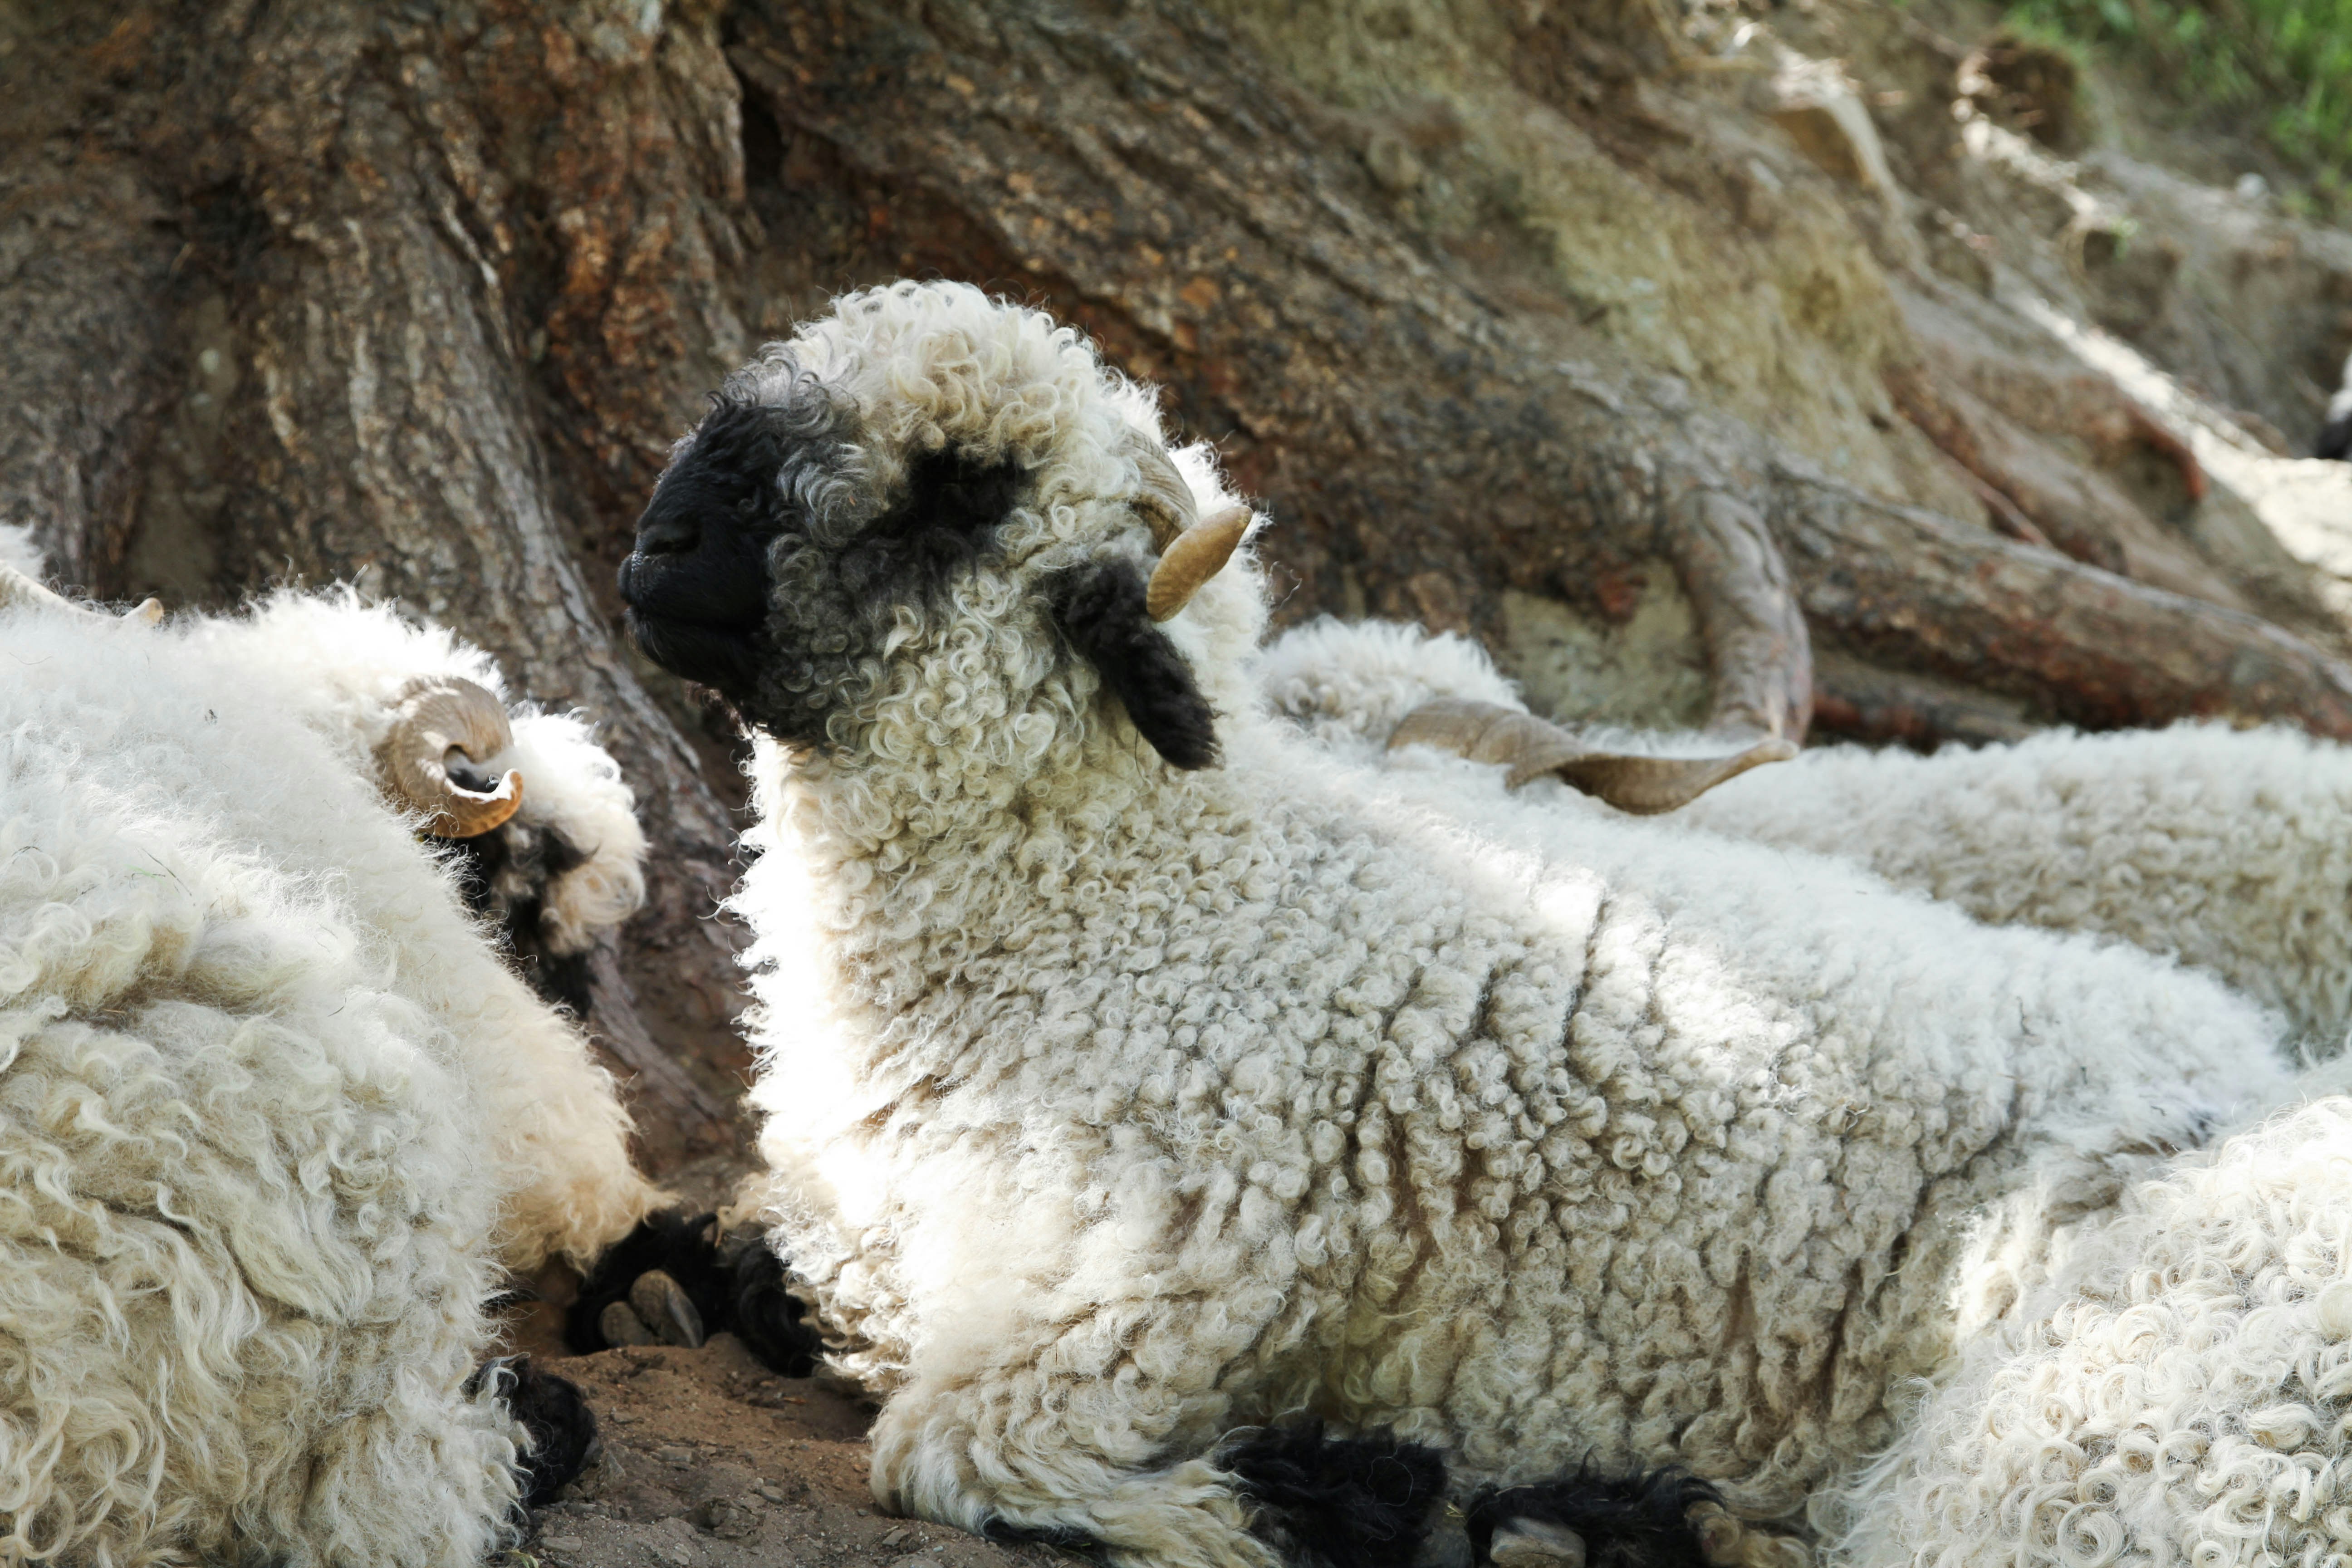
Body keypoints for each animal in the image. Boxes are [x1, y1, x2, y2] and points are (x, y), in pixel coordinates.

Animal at [612, 279, 2309, 1568]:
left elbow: (956, 1445)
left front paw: (1311, 1496)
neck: (1140, 891)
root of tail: (2236, 1062)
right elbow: (800, 1271)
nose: (654, 548)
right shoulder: (881, 1214)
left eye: (960, 487)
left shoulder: (1173, 1261)